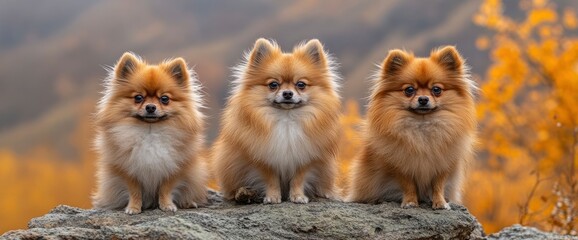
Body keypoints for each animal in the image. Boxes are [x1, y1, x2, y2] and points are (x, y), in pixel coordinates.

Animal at [94, 52, 209, 214]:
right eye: (138, 98)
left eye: (165, 99)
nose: (150, 107)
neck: (150, 132)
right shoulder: (129, 169)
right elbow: (134, 190)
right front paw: (133, 207)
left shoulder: (172, 167)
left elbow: (166, 189)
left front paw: (167, 205)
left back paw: (189, 203)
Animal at [212, 38, 340, 203]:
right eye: (273, 85)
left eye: (301, 84)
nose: (287, 93)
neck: (286, 119)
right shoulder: (265, 157)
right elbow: (271, 179)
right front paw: (272, 196)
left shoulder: (305, 155)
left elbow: (299, 178)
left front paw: (298, 196)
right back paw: (244, 193)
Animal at [344, 46, 474, 209]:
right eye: (409, 90)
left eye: (436, 89)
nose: (423, 99)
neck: (422, 126)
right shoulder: (401, 163)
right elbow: (408, 184)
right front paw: (410, 202)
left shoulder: (443, 162)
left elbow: (438, 185)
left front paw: (440, 203)